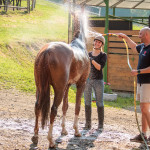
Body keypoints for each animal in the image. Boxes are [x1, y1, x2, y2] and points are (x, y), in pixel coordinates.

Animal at [31, 7, 90, 148]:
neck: (79, 44)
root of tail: (47, 51)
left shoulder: (67, 86)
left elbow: (66, 106)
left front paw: (63, 130)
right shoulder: (81, 84)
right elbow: (77, 106)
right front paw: (76, 131)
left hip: (40, 88)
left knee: (37, 107)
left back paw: (35, 137)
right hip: (58, 89)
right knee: (53, 110)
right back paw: (51, 141)